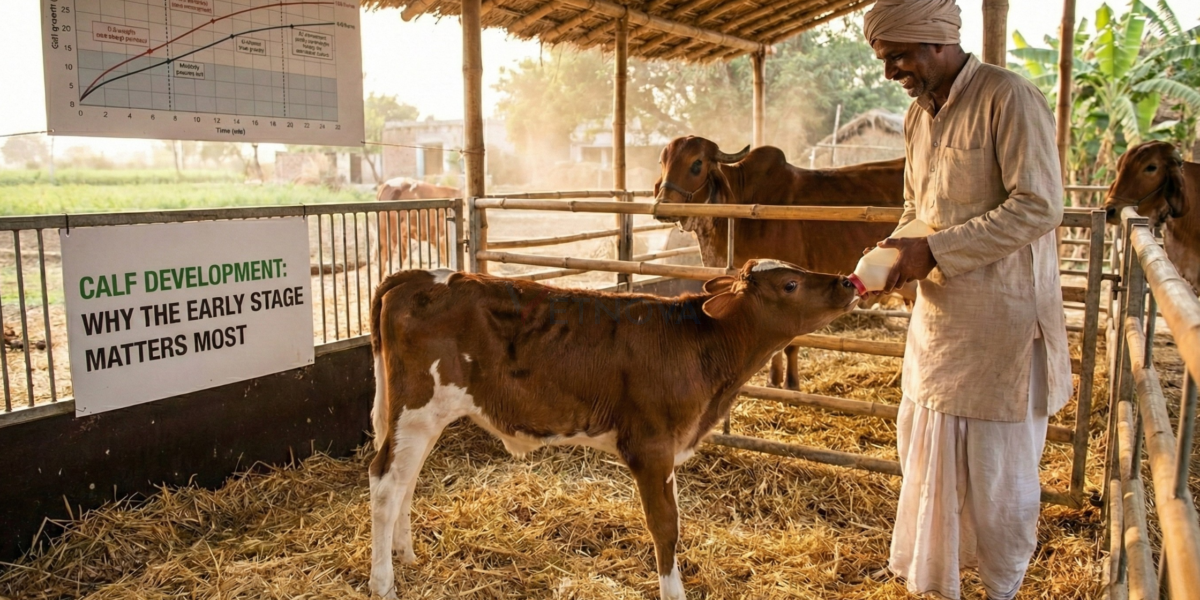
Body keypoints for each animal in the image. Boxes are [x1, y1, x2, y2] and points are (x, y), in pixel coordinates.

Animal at [366, 260, 860, 600]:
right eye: (790, 284)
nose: (847, 282)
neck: (699, 346)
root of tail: (413, 277)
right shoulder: (651, 446)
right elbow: (665, 525)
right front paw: (673, 592)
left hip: (419, 415)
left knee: (406, 480)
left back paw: (405, 555)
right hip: (418, 407)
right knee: (386, 482)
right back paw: (382, 582)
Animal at [652, 136, 906, 389]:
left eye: (697, 163)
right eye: (662, 162)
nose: (663, 205)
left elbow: (790, 343)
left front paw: (791, 384)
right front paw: (773, 380)